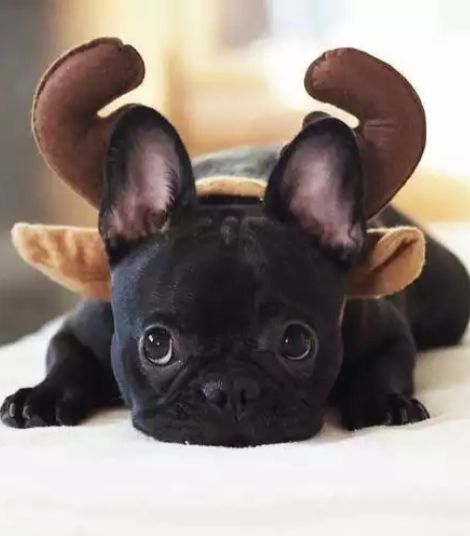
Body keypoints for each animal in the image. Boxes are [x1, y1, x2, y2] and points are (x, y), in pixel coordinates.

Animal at [3, 107, 470, 446]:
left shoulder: (386, 332)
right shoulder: (78, 332)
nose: (231, 390)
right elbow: (67, 358)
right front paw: (41, 397)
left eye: (296, 343)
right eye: (156, 345)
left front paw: (382, 401)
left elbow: (386, 364)